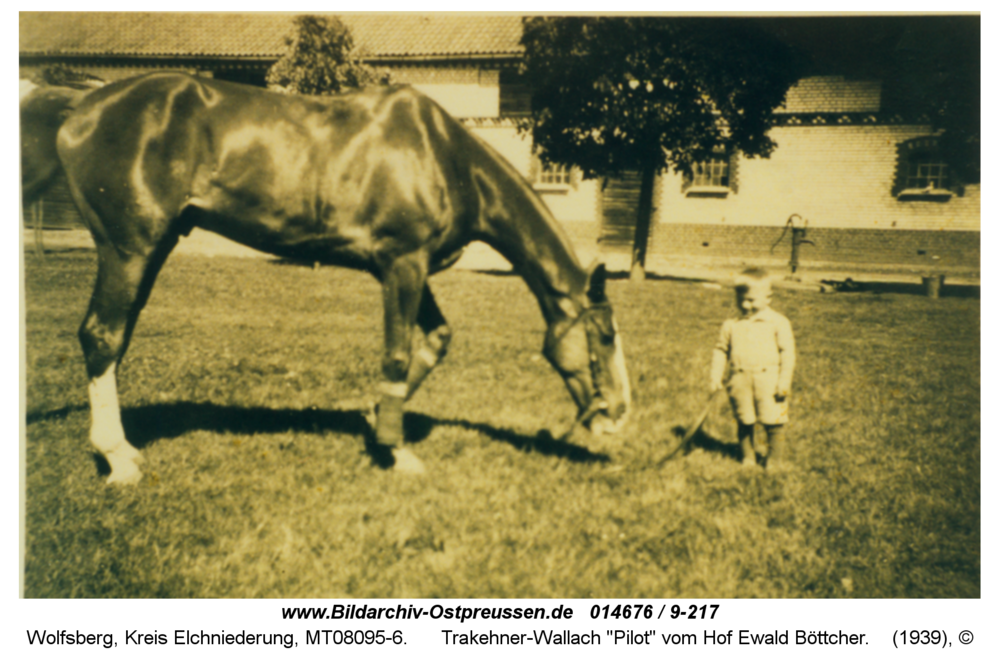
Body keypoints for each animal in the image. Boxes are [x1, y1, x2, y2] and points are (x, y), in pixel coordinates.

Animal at [21, 72, 632, 486]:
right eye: (604, 336)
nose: (618, 416)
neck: (442, 157)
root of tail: (83, 104)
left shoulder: (412, 268)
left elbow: (435, 340)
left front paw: (375, 418)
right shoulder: (402, 265)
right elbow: (396, 354)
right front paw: (396, 451)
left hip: (151, 248)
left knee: (113, 339)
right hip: (130, 248)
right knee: (102, 336)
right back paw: (117, 459)